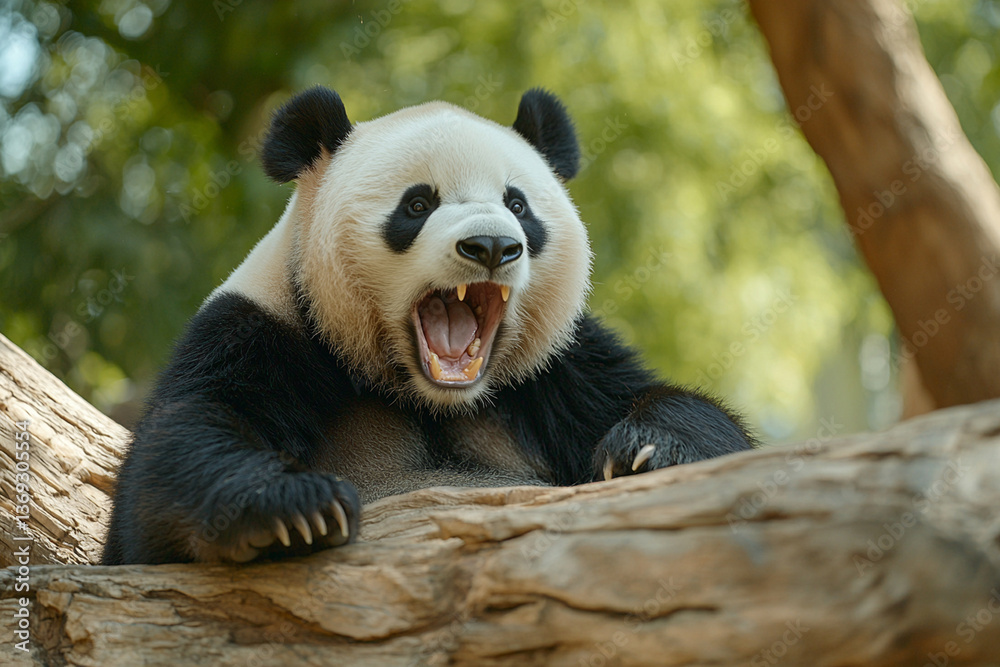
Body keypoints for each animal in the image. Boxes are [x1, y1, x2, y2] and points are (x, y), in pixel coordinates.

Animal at [102, 87, 755, 565]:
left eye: (518, 204)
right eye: (417, 204)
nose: (491, 246)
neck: (428, 397)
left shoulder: (559, 367)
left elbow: (669, 408)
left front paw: (649, 449)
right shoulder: (261, 330)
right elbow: (175, 455)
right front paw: (295, 505)